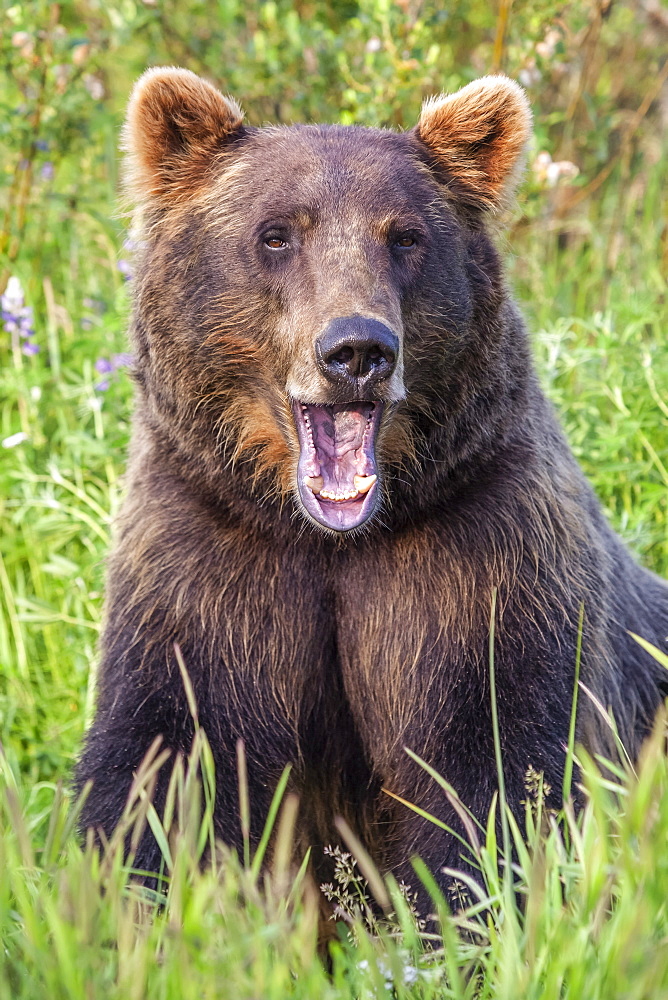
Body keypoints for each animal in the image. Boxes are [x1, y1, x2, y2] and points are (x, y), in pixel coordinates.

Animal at [74, 66, 668, 900]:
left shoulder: (482, 559)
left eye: (406, 237)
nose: (356, 349)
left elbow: (494, 772)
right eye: (276, 234)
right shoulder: (207, 561)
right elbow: (163, 766)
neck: (330, 537)